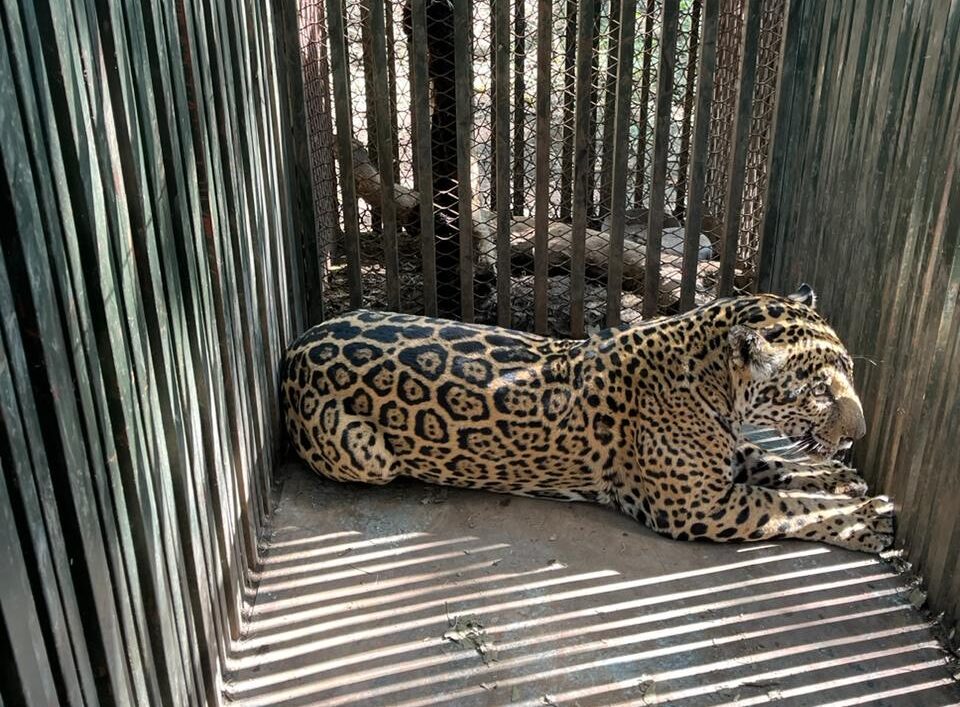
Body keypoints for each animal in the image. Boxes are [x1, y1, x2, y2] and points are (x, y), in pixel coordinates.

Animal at [281, 285, 893, 553]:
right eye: (819, 390)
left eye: (847, 372)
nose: (860, 434)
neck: (714, 386)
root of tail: (297, 343)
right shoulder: (699, 507)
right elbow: (788, 508)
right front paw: (866, 521)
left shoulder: (723, 459)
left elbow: (773, 463)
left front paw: (842, 478)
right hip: (368, 456)